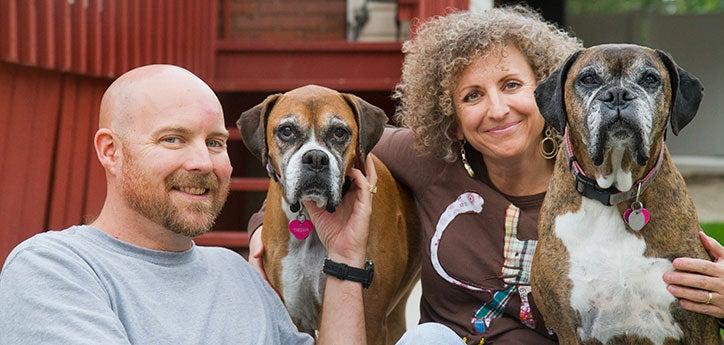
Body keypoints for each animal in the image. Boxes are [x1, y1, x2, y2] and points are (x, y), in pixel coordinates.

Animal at [528, 44, 720, 342]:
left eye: (650, 79)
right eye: (588, 79)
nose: (617, 94)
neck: (613, 193)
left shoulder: (701, 324)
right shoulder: (568, 329)